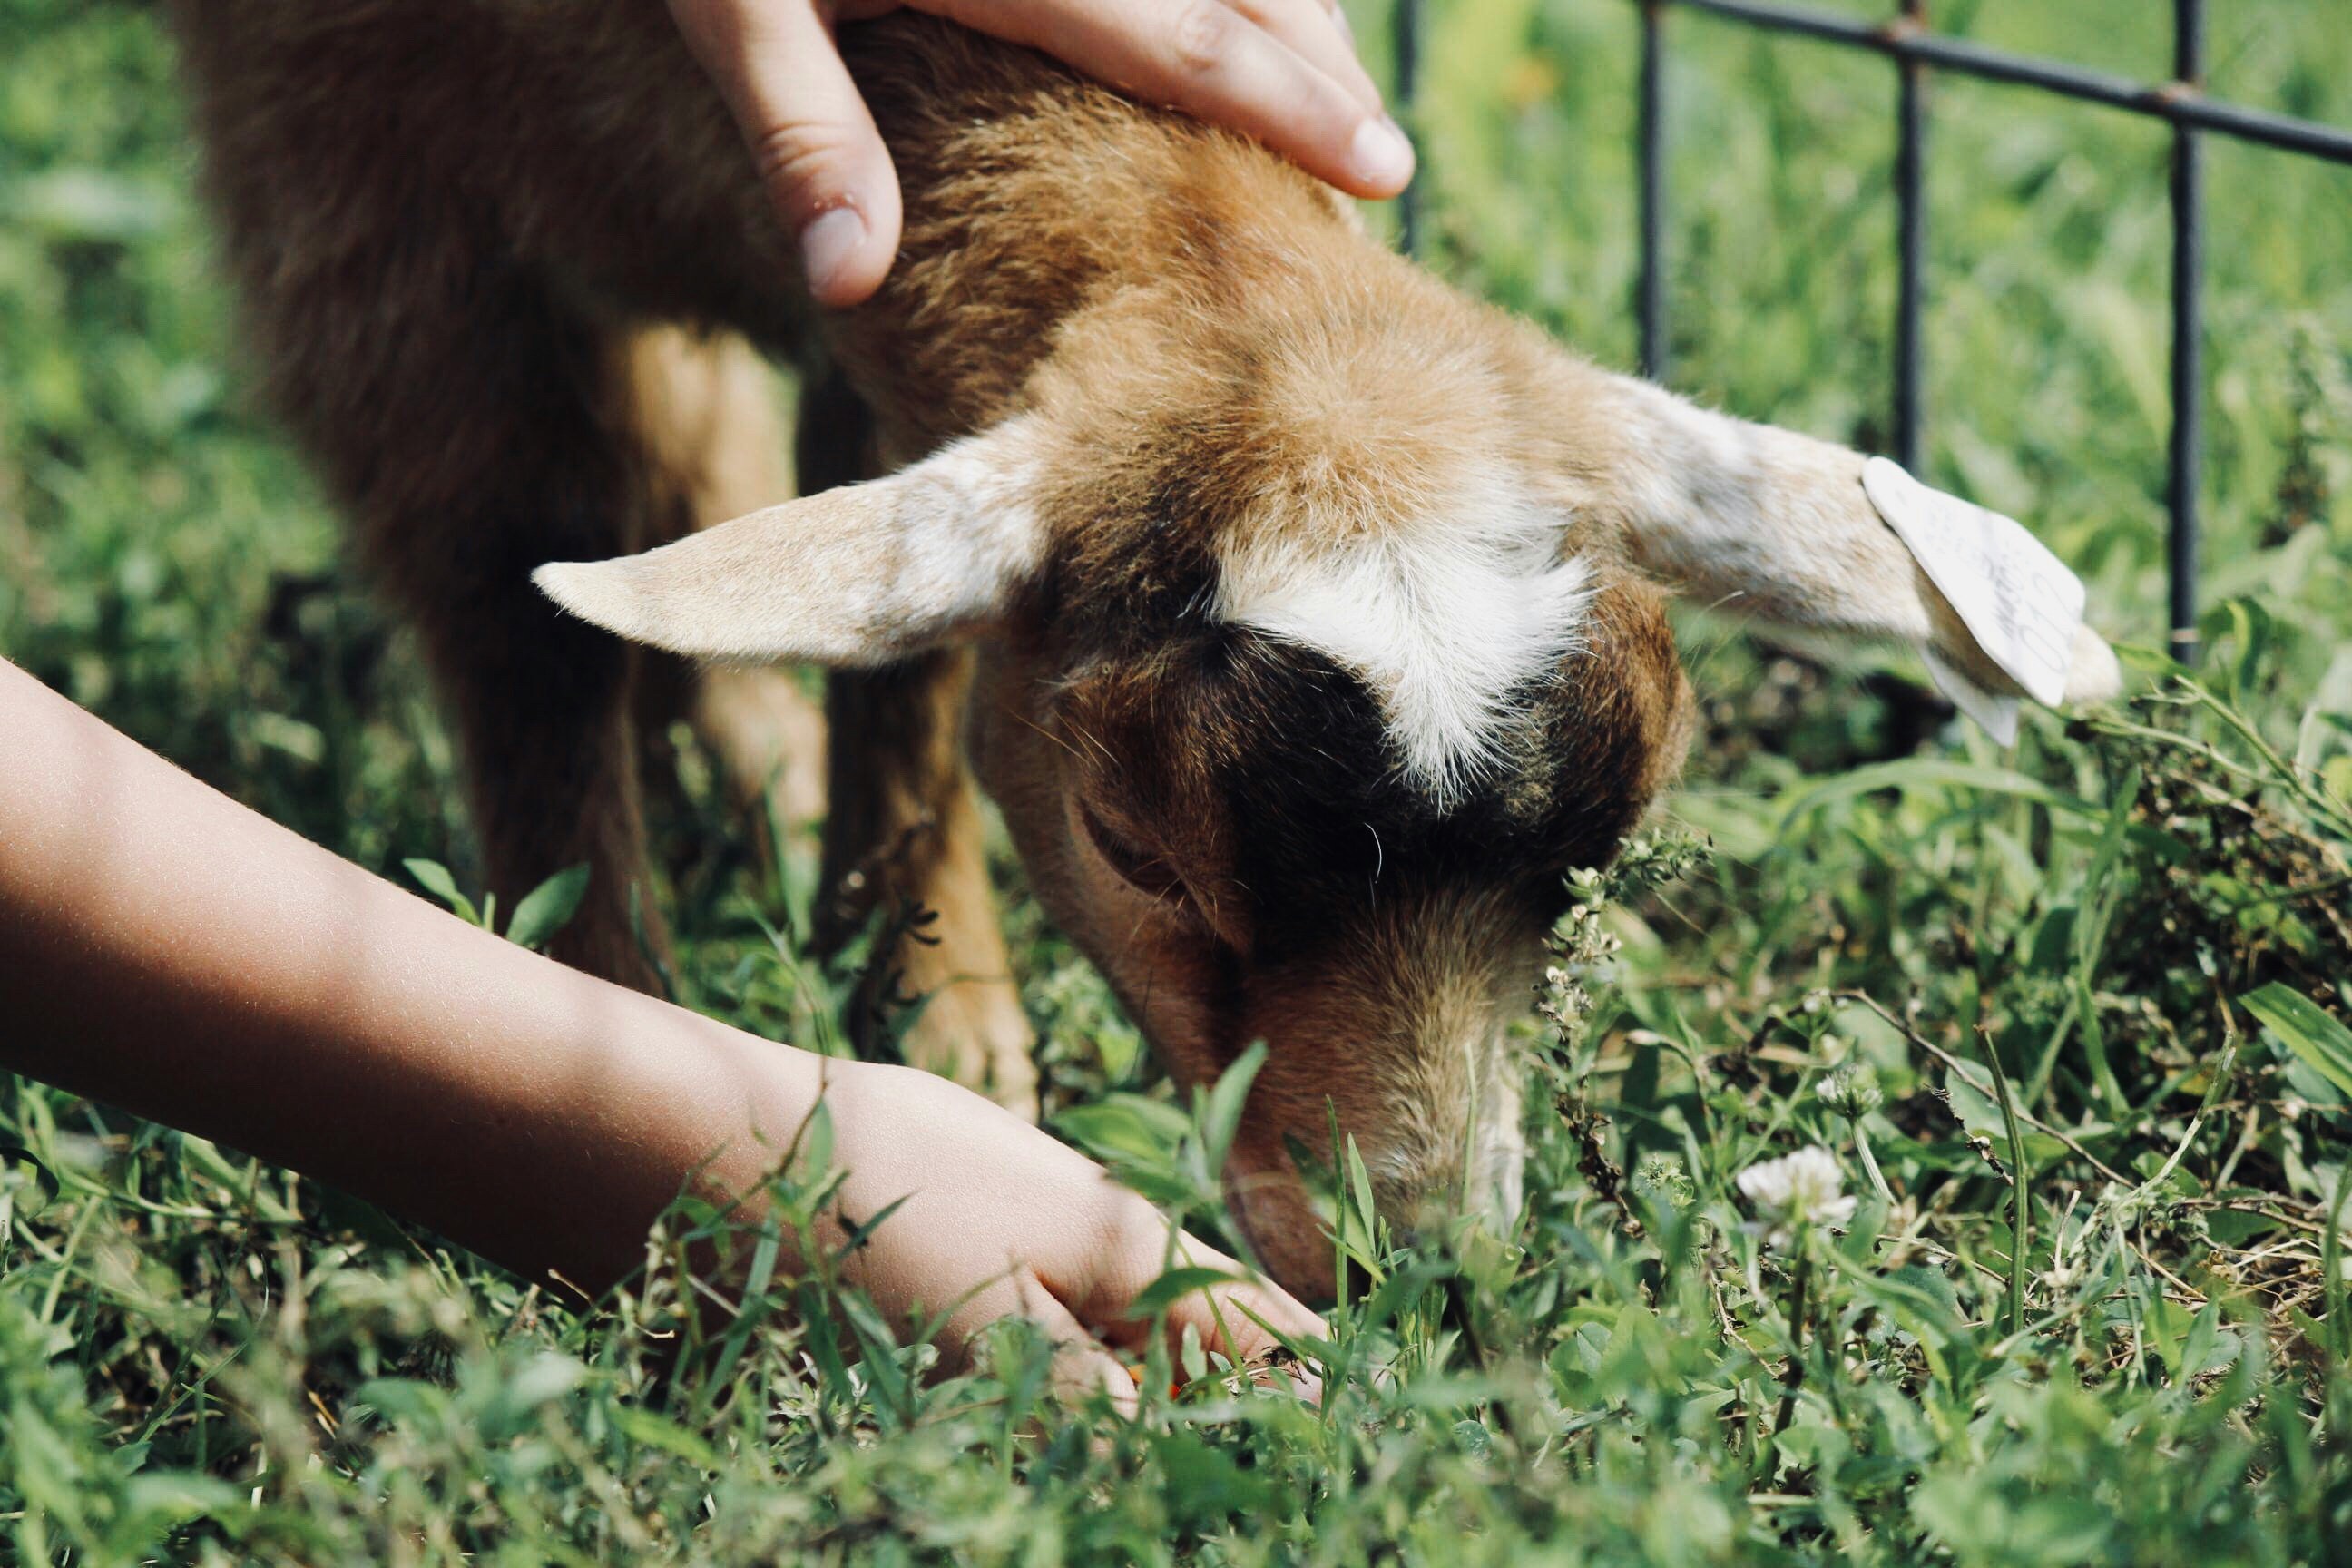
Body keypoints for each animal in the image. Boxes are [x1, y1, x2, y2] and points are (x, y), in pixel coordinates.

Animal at [165, 5, 2116, 1298]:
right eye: (1133, 850)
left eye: (1588, 865)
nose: (1426, 1273)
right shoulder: (347, 175)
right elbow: (507, 605)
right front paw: (612, 1017)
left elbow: (900, 652)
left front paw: (934, 1002)